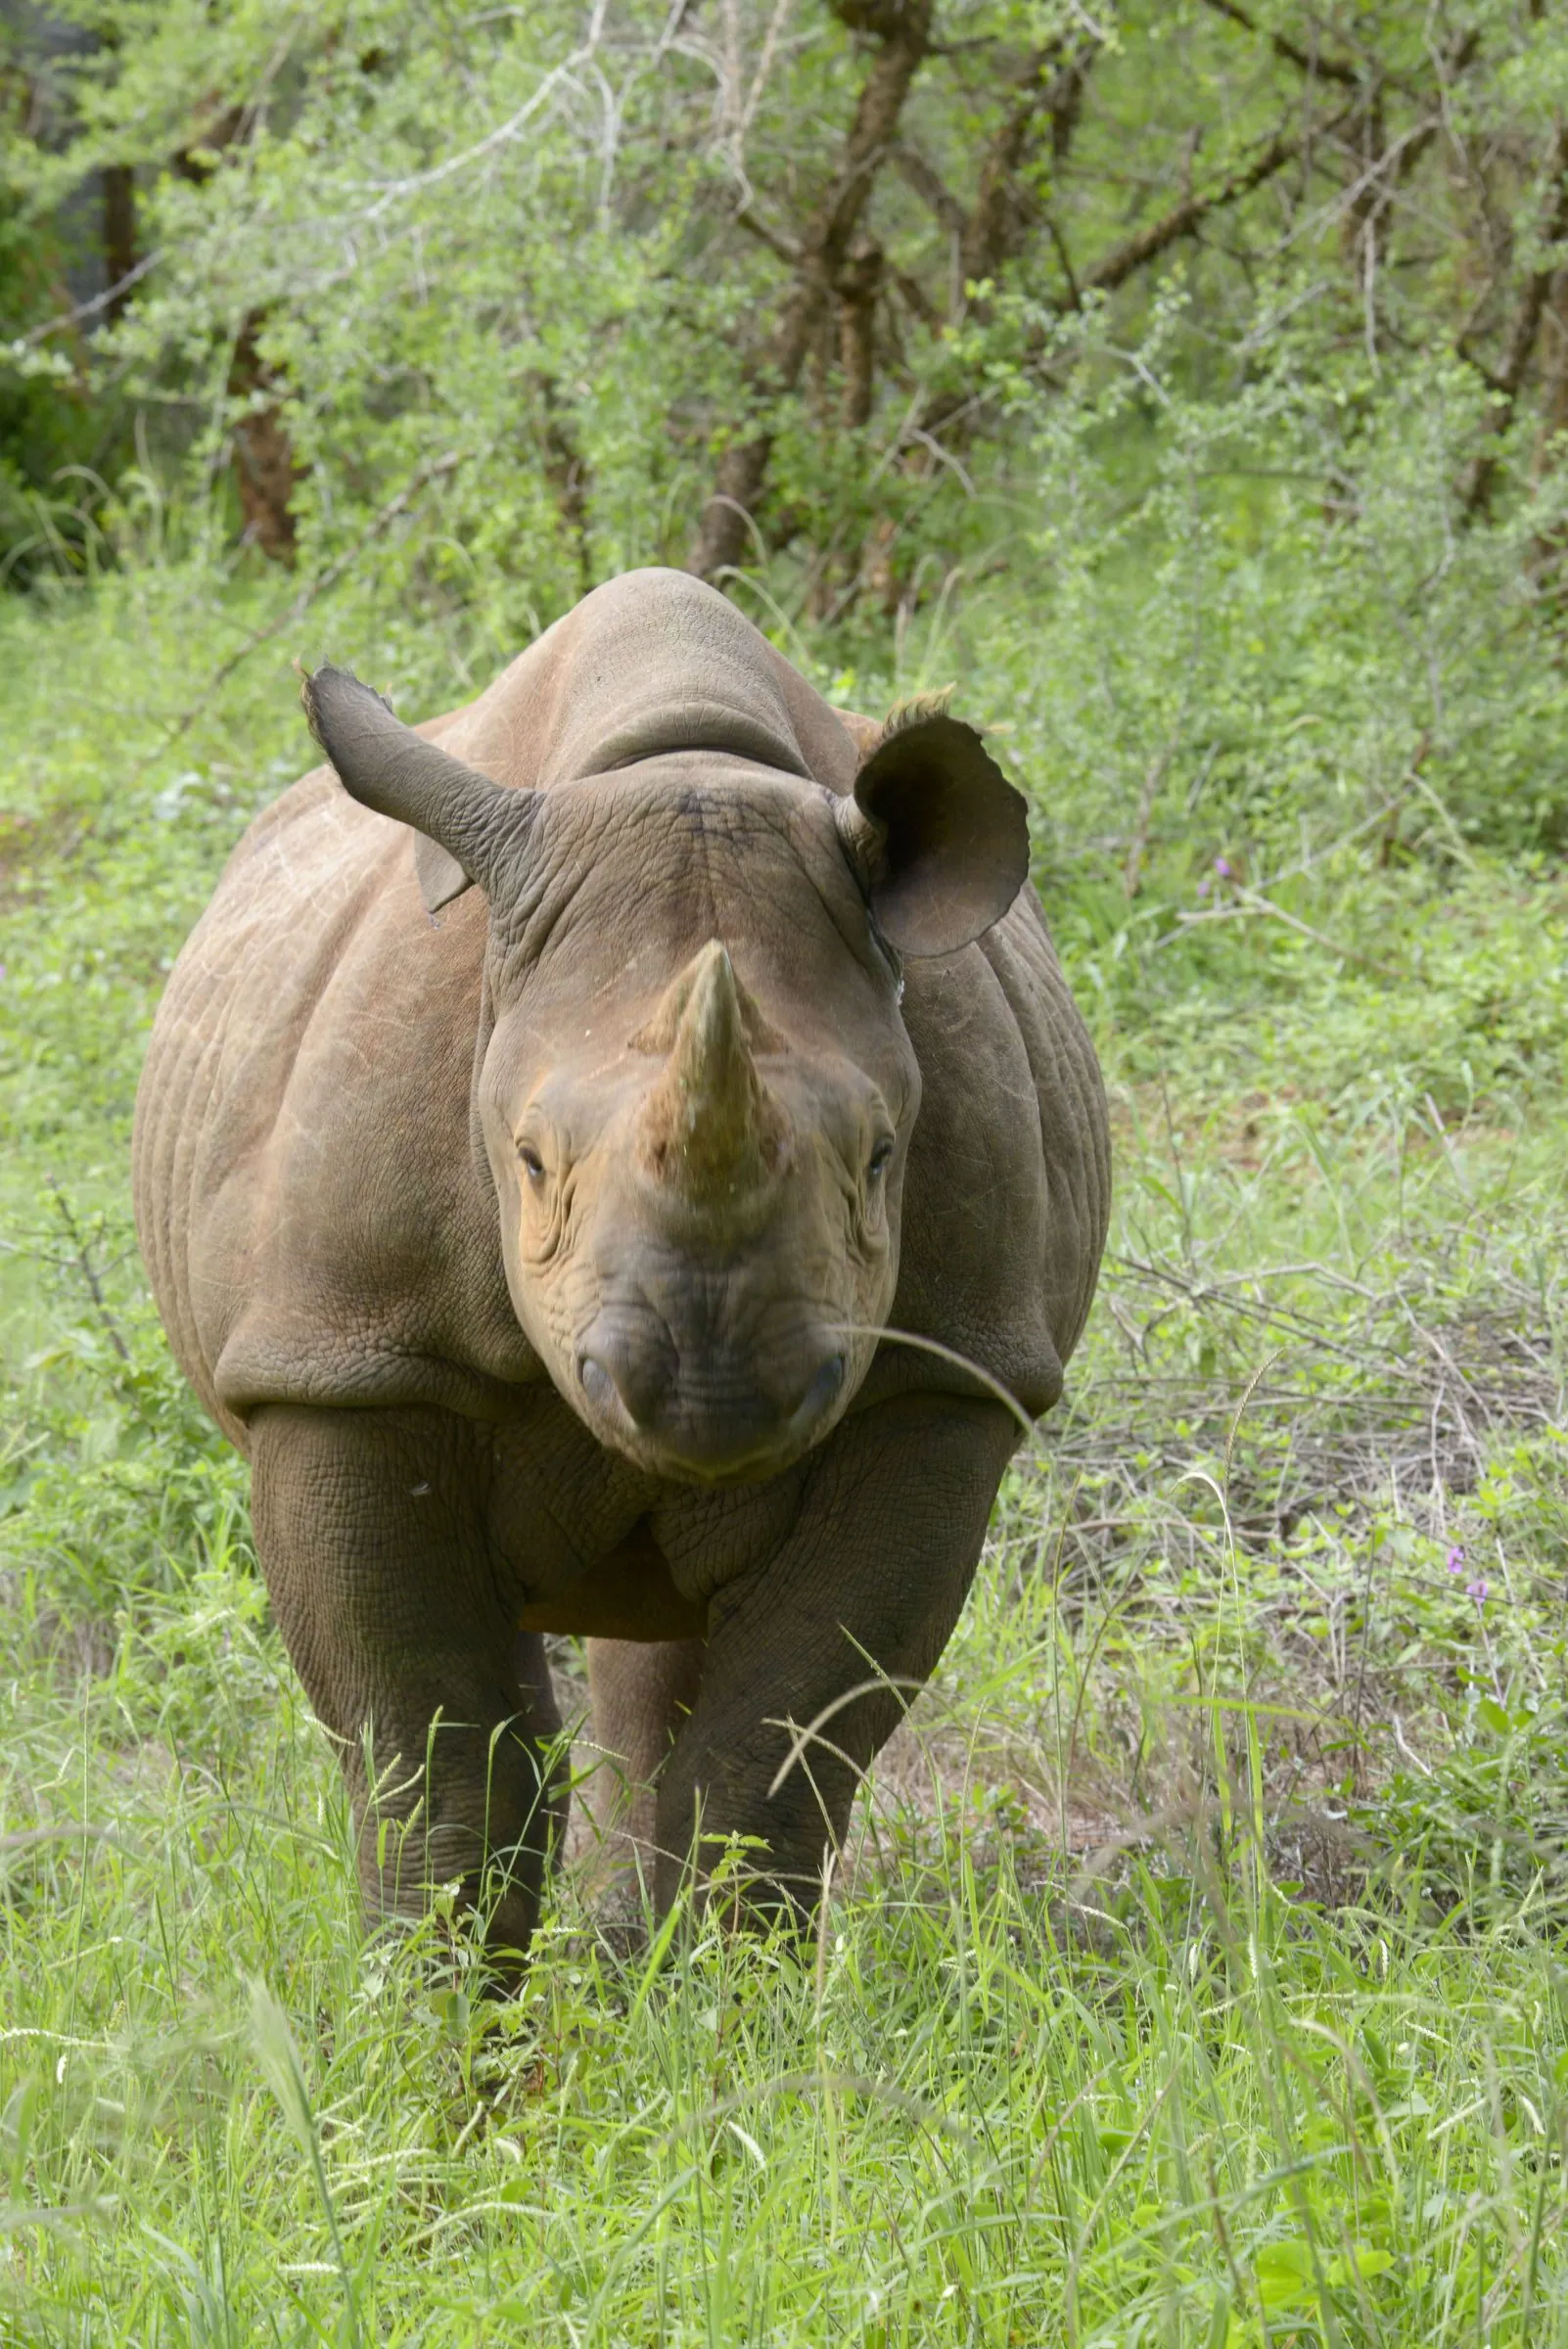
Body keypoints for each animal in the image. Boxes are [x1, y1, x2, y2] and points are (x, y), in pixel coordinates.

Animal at [133, 568, 1108, 1964]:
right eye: (530, 1162)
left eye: (880, 1160)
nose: (712, 1397)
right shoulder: (343, 1359)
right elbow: (433, 1758)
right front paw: (427, 2015)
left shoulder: (939, 1381)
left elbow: (773, 1760)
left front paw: (718, 2005)